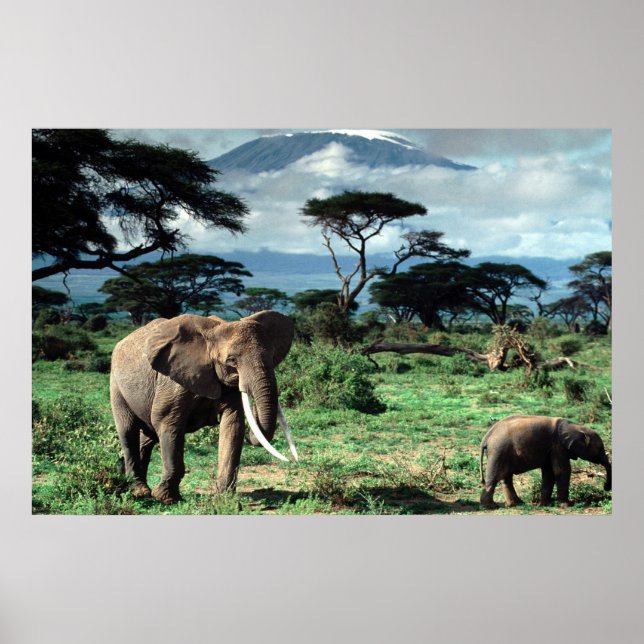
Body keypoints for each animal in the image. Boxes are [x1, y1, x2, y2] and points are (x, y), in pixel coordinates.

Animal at [109, 310, 297, 504]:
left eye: (272, 356)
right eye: (231, 360)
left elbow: (233, 425)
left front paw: (224, 499)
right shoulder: (173, 381)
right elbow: (167, 422)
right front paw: (167, 499)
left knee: (147, 437)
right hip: (116, 384)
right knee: (128, 431)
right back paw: (138, 491)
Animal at [479, 415, 611, 509]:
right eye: (600, 448)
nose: (606, 487)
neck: (575, 426)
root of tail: (486, 436)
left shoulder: (551, 448)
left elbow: (549, 473)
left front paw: (545, 504)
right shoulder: (558, 446)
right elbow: (561, 471)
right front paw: (566, 505)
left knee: (506, 478)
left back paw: (517, 504)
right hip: (498, 451)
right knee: (495, 477)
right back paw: (491, 507)